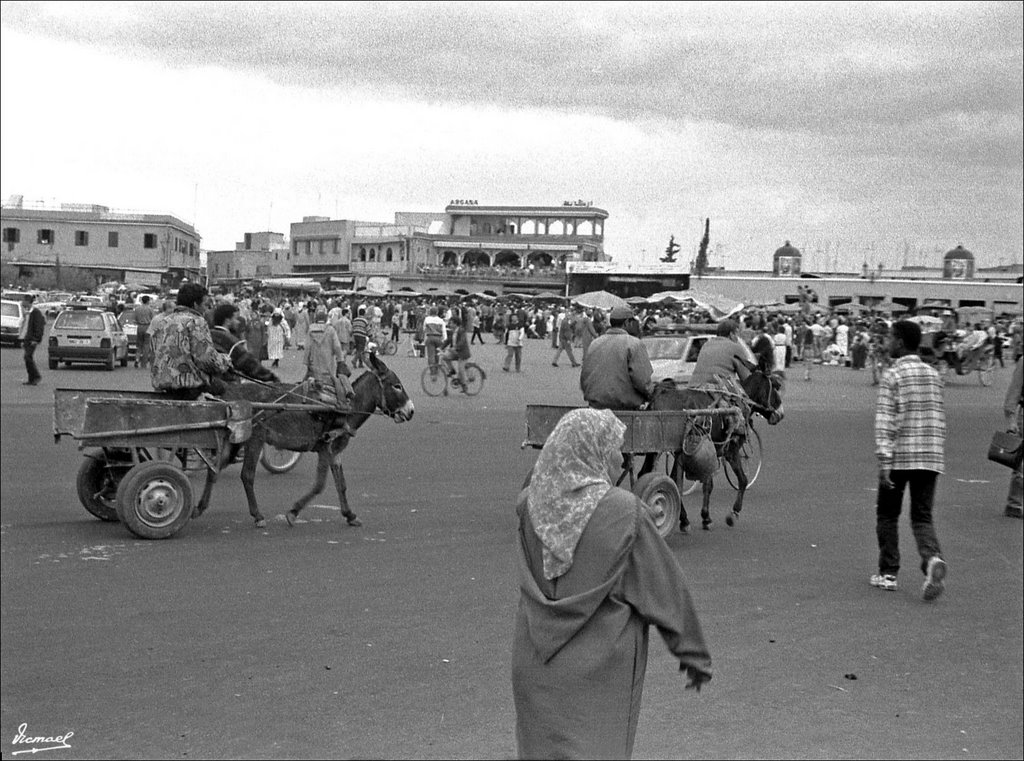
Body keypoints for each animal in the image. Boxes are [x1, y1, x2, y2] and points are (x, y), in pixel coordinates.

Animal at [192, 350, 415, 528]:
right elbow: (319, 485)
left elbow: (341, 484)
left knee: (214, 470)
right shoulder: (325, 448)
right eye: (397, 386)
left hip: (232, 441)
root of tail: (227, 393)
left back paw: (199, 507)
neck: (347, 405)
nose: (411, 411)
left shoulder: (335, 452)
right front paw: (293, 513)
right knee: (246, 475)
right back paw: (257, 516)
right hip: (254, 438)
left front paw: (350, 515)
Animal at [643, 372, 786, 532]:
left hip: (660, 448)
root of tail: (656, 400)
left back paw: (681, 519)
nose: (781, 414)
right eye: (776, 387)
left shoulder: (713, 453)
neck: (739, 398)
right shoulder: (731, 450)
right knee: (667, 479)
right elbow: (741, 480)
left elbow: (708, 484)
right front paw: (732, 513)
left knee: (654, 476)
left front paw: (706, 517)